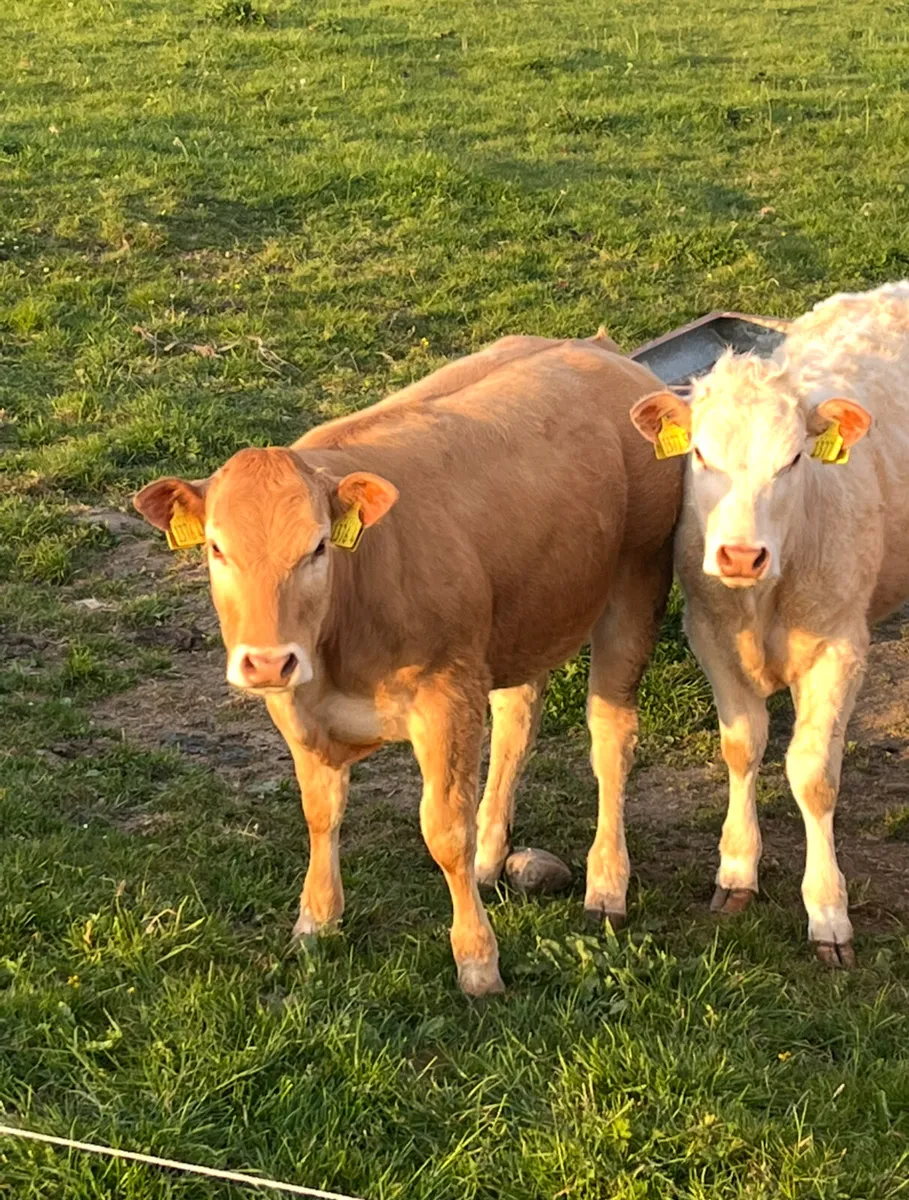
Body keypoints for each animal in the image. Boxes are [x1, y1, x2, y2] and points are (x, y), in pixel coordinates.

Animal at [134, 332, 682, 995]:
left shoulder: (447, 696)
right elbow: (320, 813)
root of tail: (594, 349)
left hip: (637, 581)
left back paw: (606, 882)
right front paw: (316, 922)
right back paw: (491, 856)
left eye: (318, 546)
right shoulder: (299, 706)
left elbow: (444, 829)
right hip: (523, 615)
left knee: (611, 735)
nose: (267, 662)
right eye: (216, 548)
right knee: (517, 721)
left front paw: (478, 962)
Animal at [630, 281, 909, 968]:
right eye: (699, 454)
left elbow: (813, 776)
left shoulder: (841, 648)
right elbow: (742, 745)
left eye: (792, 461)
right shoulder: (709, 633)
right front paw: (736, 870)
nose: (738, 555)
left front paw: (828, 912)